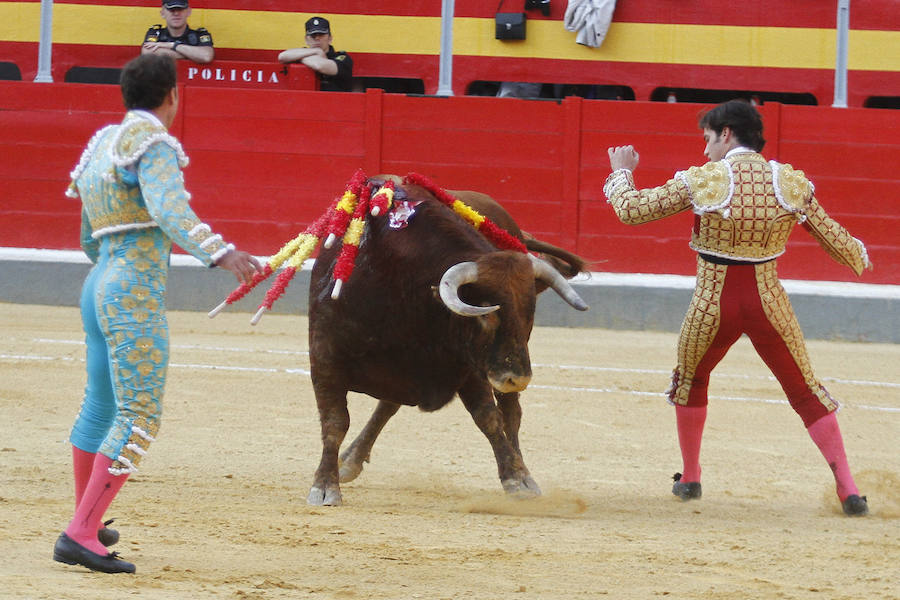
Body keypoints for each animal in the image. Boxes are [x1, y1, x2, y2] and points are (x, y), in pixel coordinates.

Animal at [310, 178, 592, 506]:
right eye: (486, 313)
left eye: (529, 312)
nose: (517, 378)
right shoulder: (325, 358)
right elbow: (335, 422)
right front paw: (325, 486)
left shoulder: (472, 368)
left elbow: (489, 418)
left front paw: (516, 479)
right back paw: (349, 461)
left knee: (509, 414)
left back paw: (522, 469)